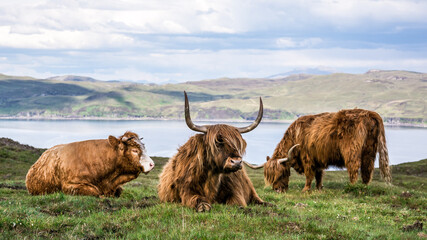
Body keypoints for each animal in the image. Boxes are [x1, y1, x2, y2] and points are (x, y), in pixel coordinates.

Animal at [25, 131, 155, 197]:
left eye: (144, 147)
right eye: (134, 150)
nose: (152, 164)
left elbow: (119, 191)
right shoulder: (70, 185)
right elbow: (95, 192)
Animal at [244, 109, 392, 192]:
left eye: (282, 173)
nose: (277, 190)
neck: (295, 135)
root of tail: (369, 114)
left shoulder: (307, 157)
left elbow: (310, 174)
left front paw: (305, 190)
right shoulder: (318, 158)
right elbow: (319, 174)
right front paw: (319, 188)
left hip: (352, 150)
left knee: (354, 168)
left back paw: (352, 187)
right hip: (369, 150)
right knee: (368, 169)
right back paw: (364, 187)